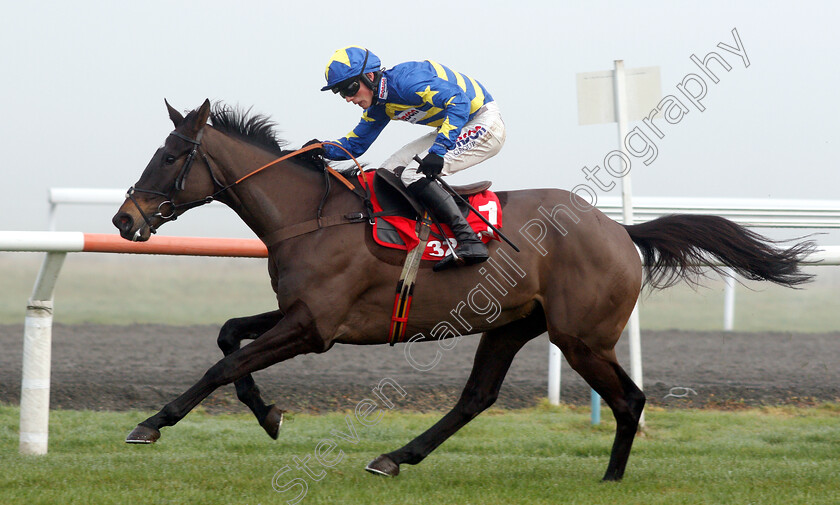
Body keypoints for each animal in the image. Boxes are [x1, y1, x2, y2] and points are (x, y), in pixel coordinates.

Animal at [111, 99, 812, 480]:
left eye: (170, 156)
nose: (124, 220)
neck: (312, 215)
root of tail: (618, 229)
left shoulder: (315, 328)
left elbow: (222, 365)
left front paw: (151, 424)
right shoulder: (300, 315)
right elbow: (229, 339)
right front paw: (269, 414)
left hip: (581, 336)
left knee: (630, 400)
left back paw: (611, 478)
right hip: (511, 324)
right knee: (478, 397)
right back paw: (396, 457)